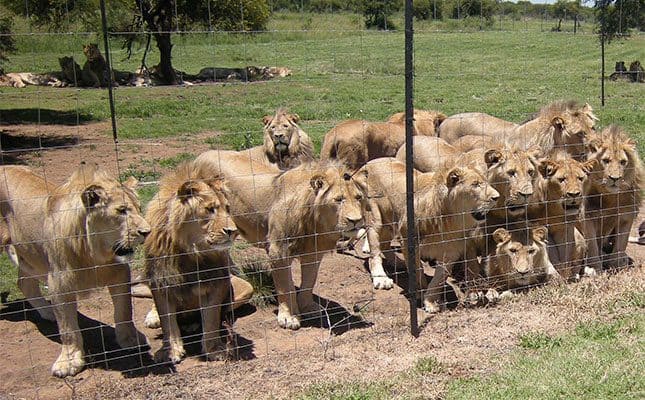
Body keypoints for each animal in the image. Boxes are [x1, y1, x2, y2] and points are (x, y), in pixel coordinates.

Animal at [0, 164, 150, 377]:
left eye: (139, 208)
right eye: (121, 211)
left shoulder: (120, 273)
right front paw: (69, 362)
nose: (147, 232)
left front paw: (130, 340)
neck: (93, 254)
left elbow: (124, 312)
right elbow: (68, 329)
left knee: (24, 283)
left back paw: (48, 312)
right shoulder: (59, 284)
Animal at [143, 162, 243, 364]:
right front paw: (170, 351)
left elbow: (211, 318)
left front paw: (214, 350)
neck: (191, 251)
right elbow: (167, 321)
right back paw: (153, 317)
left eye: (228, 209)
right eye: (210, 209)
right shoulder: (160, 281)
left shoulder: (215, 280)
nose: (233, 231)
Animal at [194, 151, 370, 329]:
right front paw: (288, 317)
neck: (315, 222)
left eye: (358, 197)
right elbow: (286, 286)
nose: (356, 220)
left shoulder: (314, 252)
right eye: (338, 199)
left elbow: (309, 282)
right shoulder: (279, 251)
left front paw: (308, 307)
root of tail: (202, 155)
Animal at [360, 158, 499, 312]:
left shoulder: (451, 252)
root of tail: (370, 162)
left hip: (391, 223)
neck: (450, 220)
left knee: (384, 245)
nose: (497, 197)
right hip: (375, 218)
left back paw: (398, 263)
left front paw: (432, 302)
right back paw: (381, 278)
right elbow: (417, 271)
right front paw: (420, 293)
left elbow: (439, 279)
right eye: (475, 184)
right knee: (374, 252)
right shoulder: (409, 242)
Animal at [583, 125, 644, 270]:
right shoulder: (587, 215)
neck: (610, 196)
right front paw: (595, 267)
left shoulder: (627, 215)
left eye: (623, 162)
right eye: (606, 161)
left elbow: (622, 242)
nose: (615, 179)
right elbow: (592, 245)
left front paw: (617, 265)